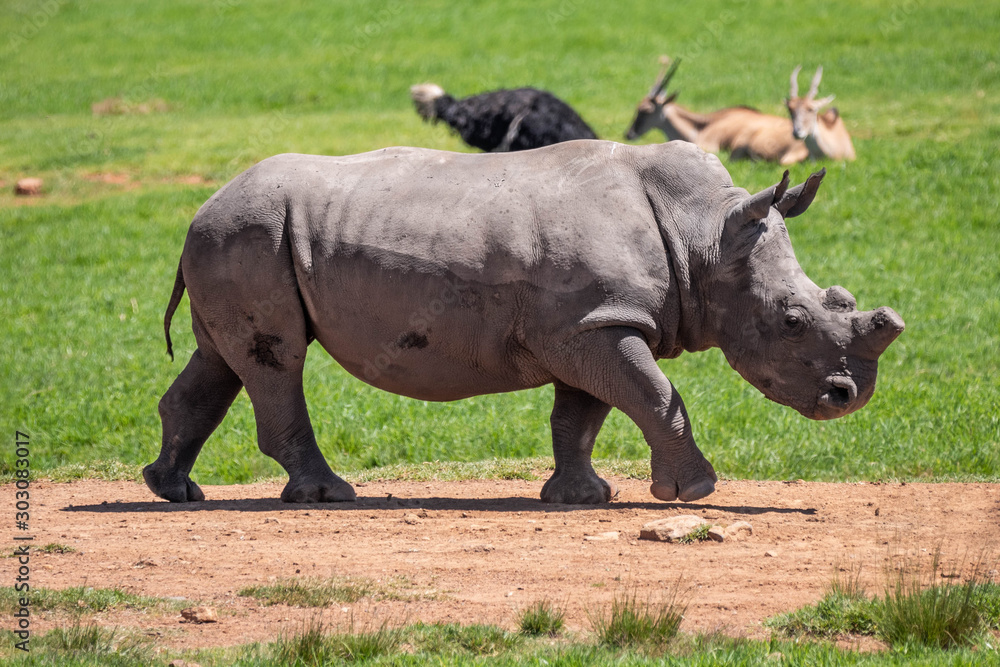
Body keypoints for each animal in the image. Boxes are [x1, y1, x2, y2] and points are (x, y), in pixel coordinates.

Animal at [144, 140, 903, 505]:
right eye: (793, 319)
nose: (847, 397)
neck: (706, 234)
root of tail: (200, 207)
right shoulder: (595, 325)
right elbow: (658, 395)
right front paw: (692, 492)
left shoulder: (588, 324)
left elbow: (583, 416)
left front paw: (581, 498)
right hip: (249, 233)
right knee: (277, 360)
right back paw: (327, 496)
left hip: (237, 238)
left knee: (224, 359)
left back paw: (174, 491)